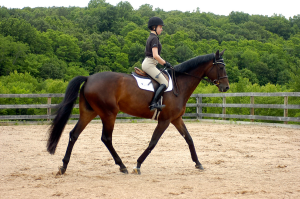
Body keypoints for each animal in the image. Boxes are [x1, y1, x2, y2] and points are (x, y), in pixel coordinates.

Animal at [47, 49, 230, 174]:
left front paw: (198, 163)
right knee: (106, 138)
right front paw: (138, 164)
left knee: (74, 134)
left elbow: (189, 139)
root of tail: (89, 78)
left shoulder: (176, 119)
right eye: (221, 68)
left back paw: (63, 166)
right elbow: (153, 142)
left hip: (89, 112)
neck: (180, 84)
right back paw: (122, 166)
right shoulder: (165, 120)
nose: (226, 87)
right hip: (109, 114)